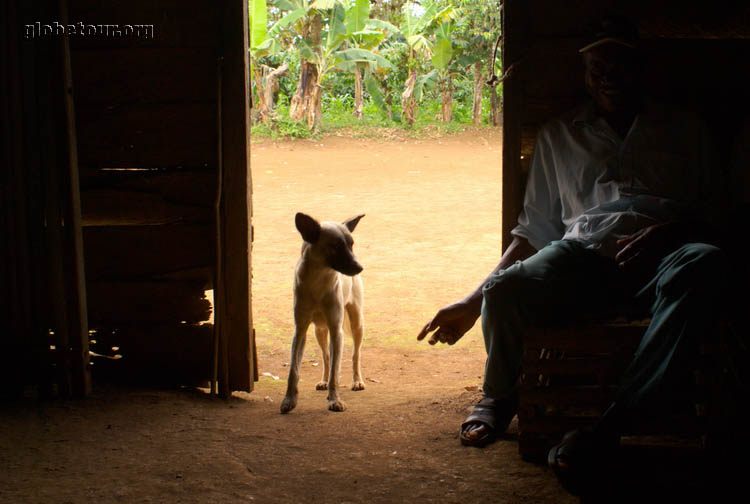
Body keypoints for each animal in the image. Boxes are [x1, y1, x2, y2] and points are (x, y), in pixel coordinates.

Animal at [280, 213, 366, 414]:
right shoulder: (300, 330)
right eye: (336, 246)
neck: (318, 281)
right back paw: (324, 380)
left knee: (355, 355)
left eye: (351, 245)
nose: (360, 267)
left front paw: (334, 399)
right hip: (319, 330)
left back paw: (357, 381)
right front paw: (289, 400)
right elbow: (293, 370)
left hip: (357, 323)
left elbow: (336, 370)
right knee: (326, 357)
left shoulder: (336, 331)